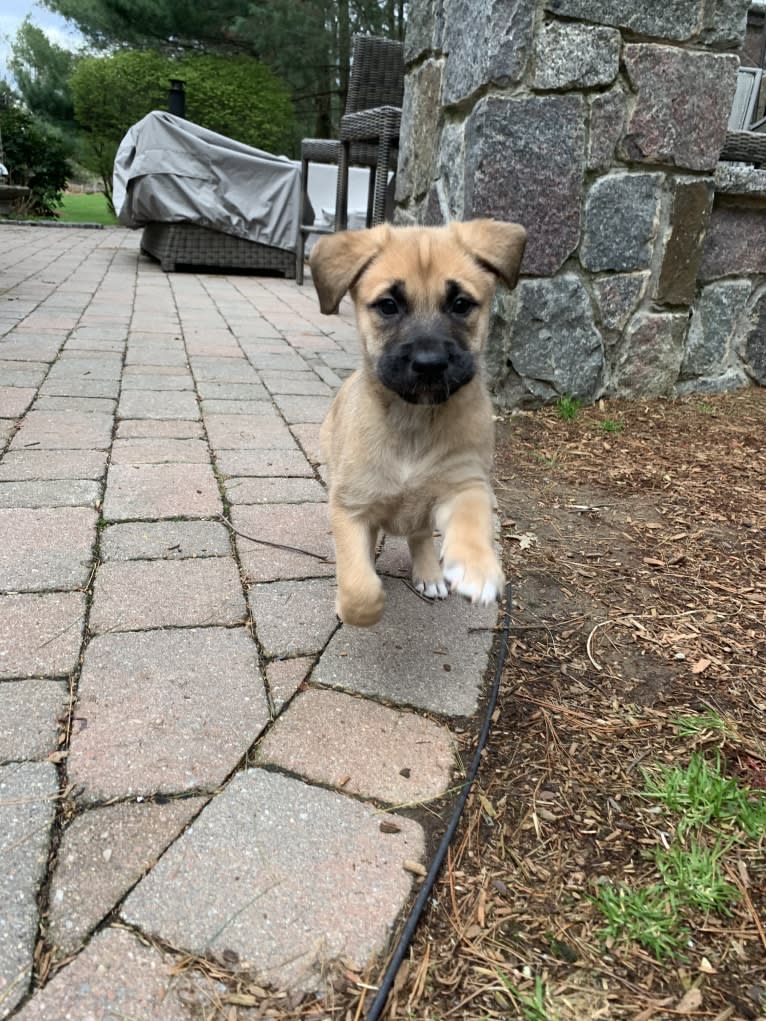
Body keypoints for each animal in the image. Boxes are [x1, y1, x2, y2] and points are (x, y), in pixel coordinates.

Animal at [308, 219, 527, 624]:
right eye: (388, 305)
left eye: (460, 304)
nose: (429, 363)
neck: (414, 420)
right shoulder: (348, 505)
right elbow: (359, 589)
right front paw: (357, 601)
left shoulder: (465, 481)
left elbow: (471, 519)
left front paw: (477, 568)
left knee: (420, 534)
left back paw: (429, 573)